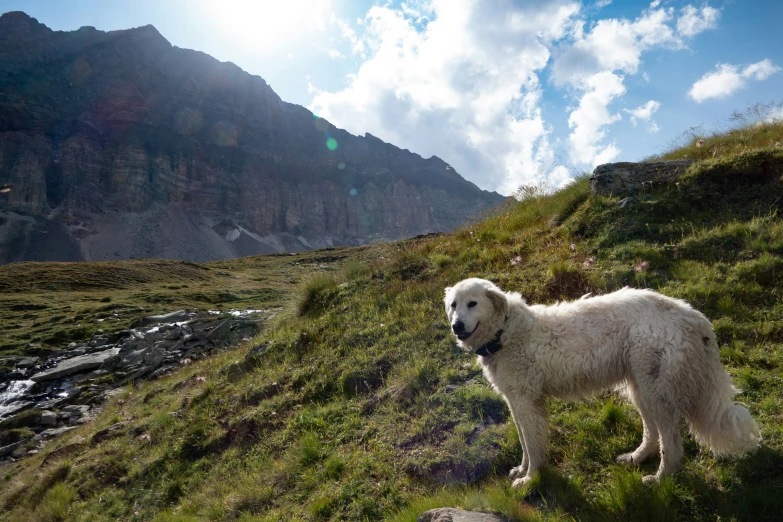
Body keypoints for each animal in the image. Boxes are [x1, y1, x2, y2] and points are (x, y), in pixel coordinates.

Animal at [448, 276, 760, 484]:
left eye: (472, 304)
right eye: (453, 305)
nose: (456, 325)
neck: (504, 332)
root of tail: (693, 316)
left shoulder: (526, 401)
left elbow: (533, 445)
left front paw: (530, 479)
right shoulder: (517, 402)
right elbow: (525, 442)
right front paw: (522, 470)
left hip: (656, 391)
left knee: (671, 443)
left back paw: (660, 478)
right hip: (640, 387)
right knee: (652, 433)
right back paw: (636, 458)